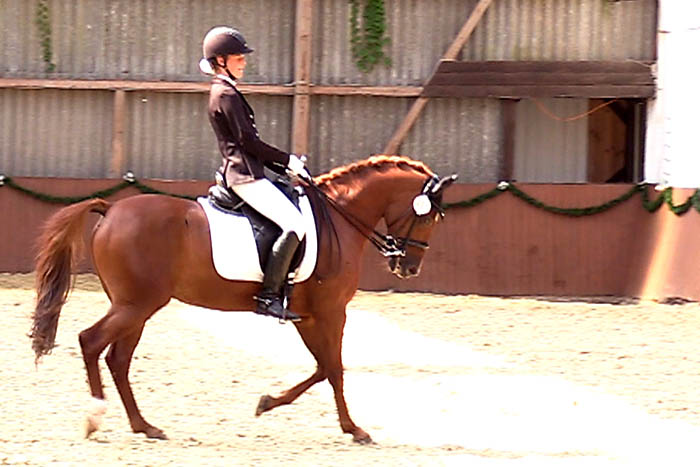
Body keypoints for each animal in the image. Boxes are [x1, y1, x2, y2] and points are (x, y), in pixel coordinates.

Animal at [31, 155, 460, 444]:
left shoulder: (308, 315)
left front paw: (268, 402)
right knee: (91, 342)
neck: (338, 219)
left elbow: (323, 368)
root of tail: (112, 207)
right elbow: (334, 369)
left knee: (118, 360)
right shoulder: (330, 312)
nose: (409, 267)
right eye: (427, 217)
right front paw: (354, 429)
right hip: (136, 305)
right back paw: (95, 418)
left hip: (137, 307)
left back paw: (145, 426)